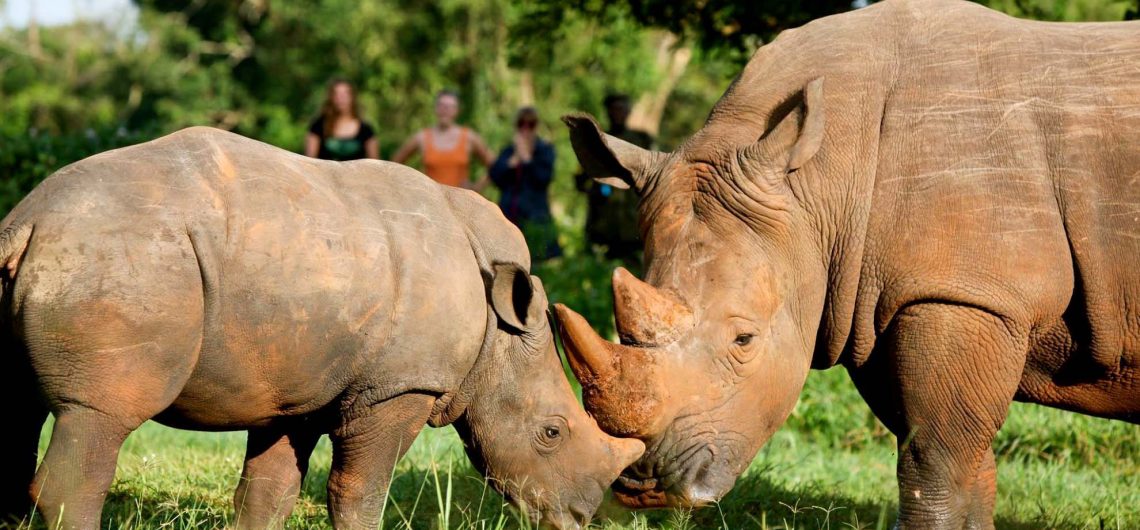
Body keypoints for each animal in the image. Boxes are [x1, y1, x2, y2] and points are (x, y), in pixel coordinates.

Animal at [0, 127, 644, 530]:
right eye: (551, 433)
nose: (579, 517)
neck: (498, 340)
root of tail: (28, 221)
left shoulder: (300, 383)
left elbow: (268, 494)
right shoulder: (401, 386)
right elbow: (358, 492)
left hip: (81, 257)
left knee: (18, 411)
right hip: (125, 261)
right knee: (97, 419)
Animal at [554, 0, 1140, 527]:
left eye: (745, 340)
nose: (644, 485)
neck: (818, 184)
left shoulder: (968, 292)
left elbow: (936, 462)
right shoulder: (879, 301)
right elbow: (956, 461)